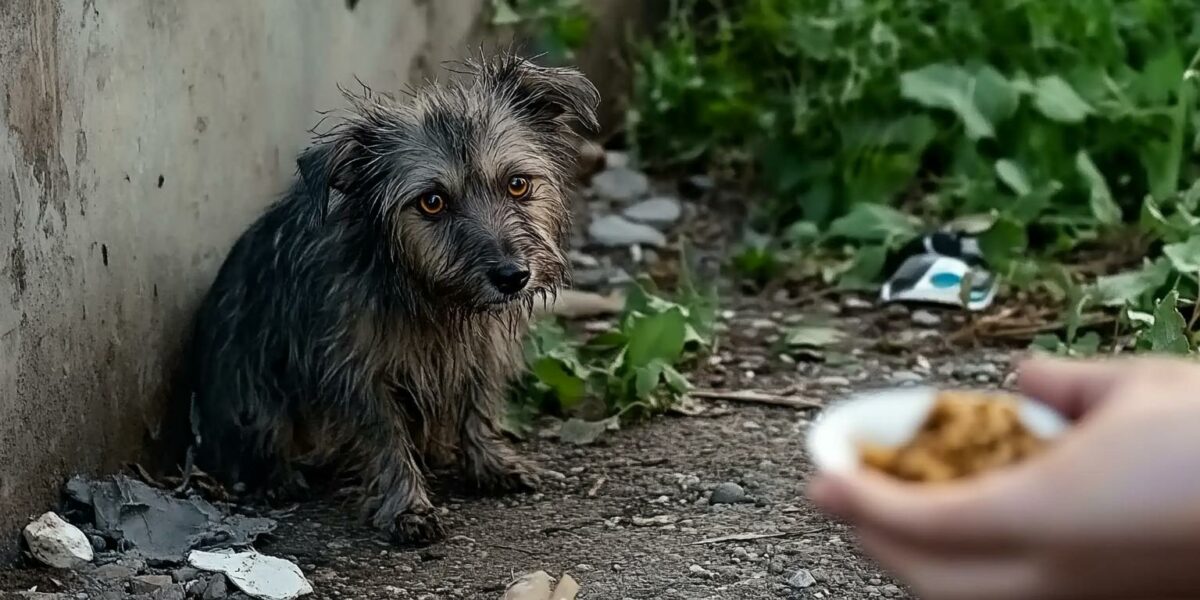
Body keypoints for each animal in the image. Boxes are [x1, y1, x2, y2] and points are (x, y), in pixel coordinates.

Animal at [187, 57, 600, 544]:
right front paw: (408, 507)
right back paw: (276, 477)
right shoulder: (357, 374)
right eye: (432, 202)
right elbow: (386, 440)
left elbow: (478, 404)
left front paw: (490, 463)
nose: (512, 277)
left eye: (517, 184)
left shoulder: (482, 349)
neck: (428, 295)